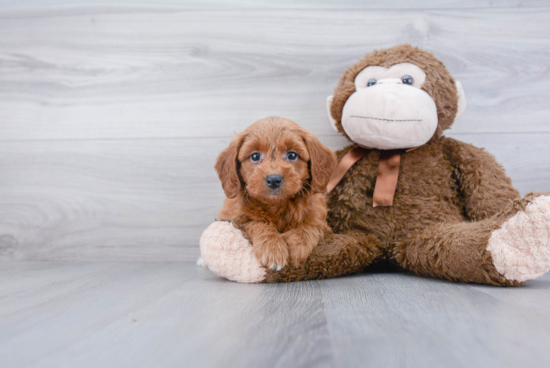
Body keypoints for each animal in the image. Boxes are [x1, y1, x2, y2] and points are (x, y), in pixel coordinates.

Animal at [215, 117, 336, 270]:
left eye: (292, 155)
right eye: (255, 156)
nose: (273, 180)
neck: (276, 205)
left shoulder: (320, 221)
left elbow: (311, 226)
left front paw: (296, 247)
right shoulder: (233, 219)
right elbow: (257, 222)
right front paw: (273, 250)